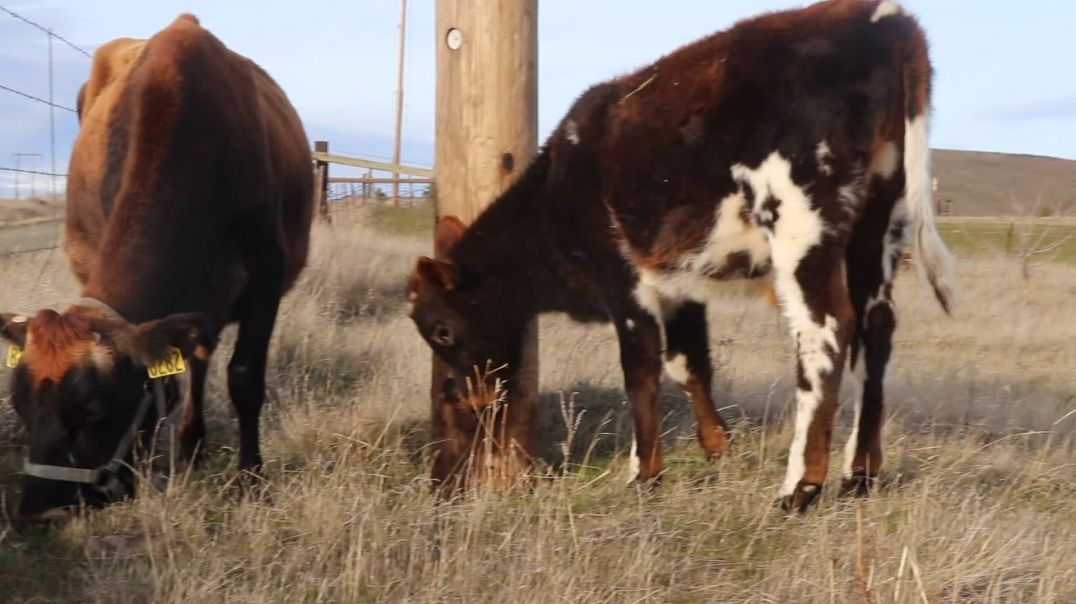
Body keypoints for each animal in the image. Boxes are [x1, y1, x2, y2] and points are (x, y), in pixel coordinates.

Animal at [0, 16, 314, 521]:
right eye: (21, 408)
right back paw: (188, 446)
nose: (41, 514)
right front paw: (148, 466)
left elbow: (245, 379)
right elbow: (173, 379)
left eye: (92, 411)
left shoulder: (267, 276)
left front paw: (251, 479)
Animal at [406, 0, 955, 508]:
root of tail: (879, 16)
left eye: (442, 331)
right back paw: (860, 474)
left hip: (802, 223)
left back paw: (800, 486)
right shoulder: (680, 278)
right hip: (879, 221)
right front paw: (717, 447)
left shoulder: (620, 276)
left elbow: (641, 368)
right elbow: (688, 363)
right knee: (875, 331)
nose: (469, 398)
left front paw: (643, 475)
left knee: (826, 332)